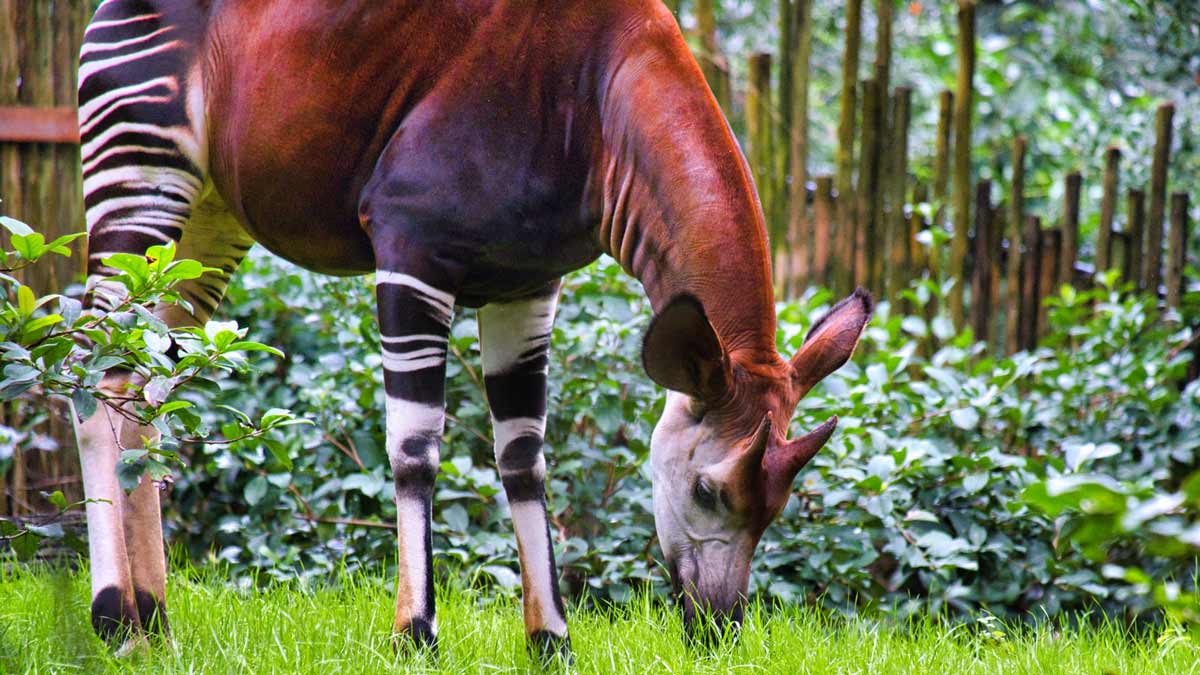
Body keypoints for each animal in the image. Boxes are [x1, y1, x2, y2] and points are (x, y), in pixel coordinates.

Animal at [73, 0, 872, 658]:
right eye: (708, 491)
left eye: (777, 508)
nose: (718, 627)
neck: (601, 111)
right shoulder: (411, 250)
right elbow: (416, 449)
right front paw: (415, 633)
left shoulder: (527, 284)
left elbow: (524, 458)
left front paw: (551, 639)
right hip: (140, 168)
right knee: (97, 375)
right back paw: (112, 618)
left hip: (207, 218)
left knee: (141, 392)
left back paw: (154, 620)